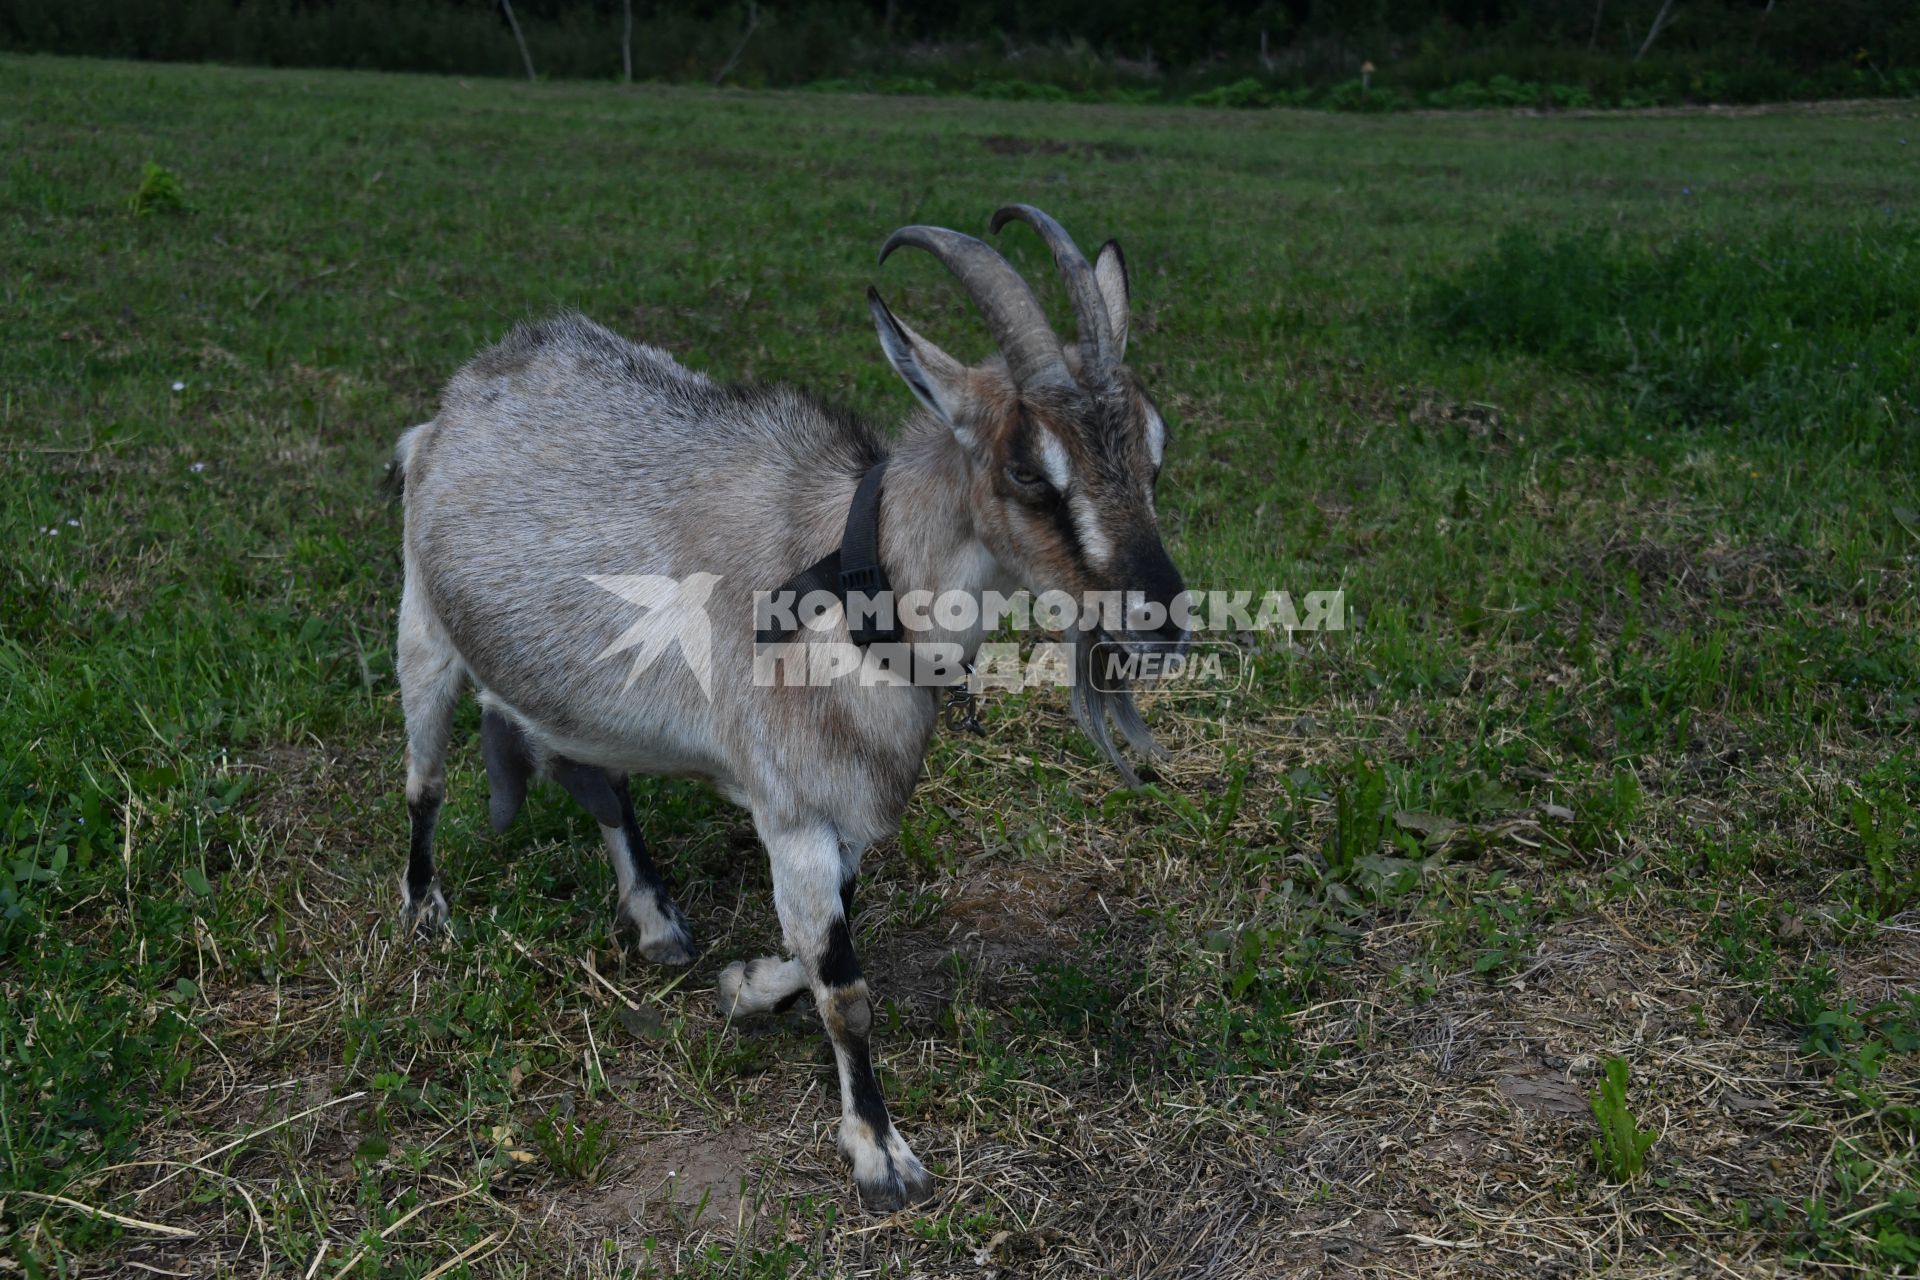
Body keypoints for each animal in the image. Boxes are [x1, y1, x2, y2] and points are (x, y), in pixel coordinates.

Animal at [393, 208, 1182, 1212]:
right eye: (1028, 470)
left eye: (1155, 447)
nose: (1164, 624)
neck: (851, 588)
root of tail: (452, 404)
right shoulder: (797, 806)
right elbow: (844, 986)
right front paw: (880, 1152)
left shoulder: (834, 811)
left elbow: (823, 938)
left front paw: (743, 985)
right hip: (422, 621)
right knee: (424, 777)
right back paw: (426, 909)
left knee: (603, 779)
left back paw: (656, 919)